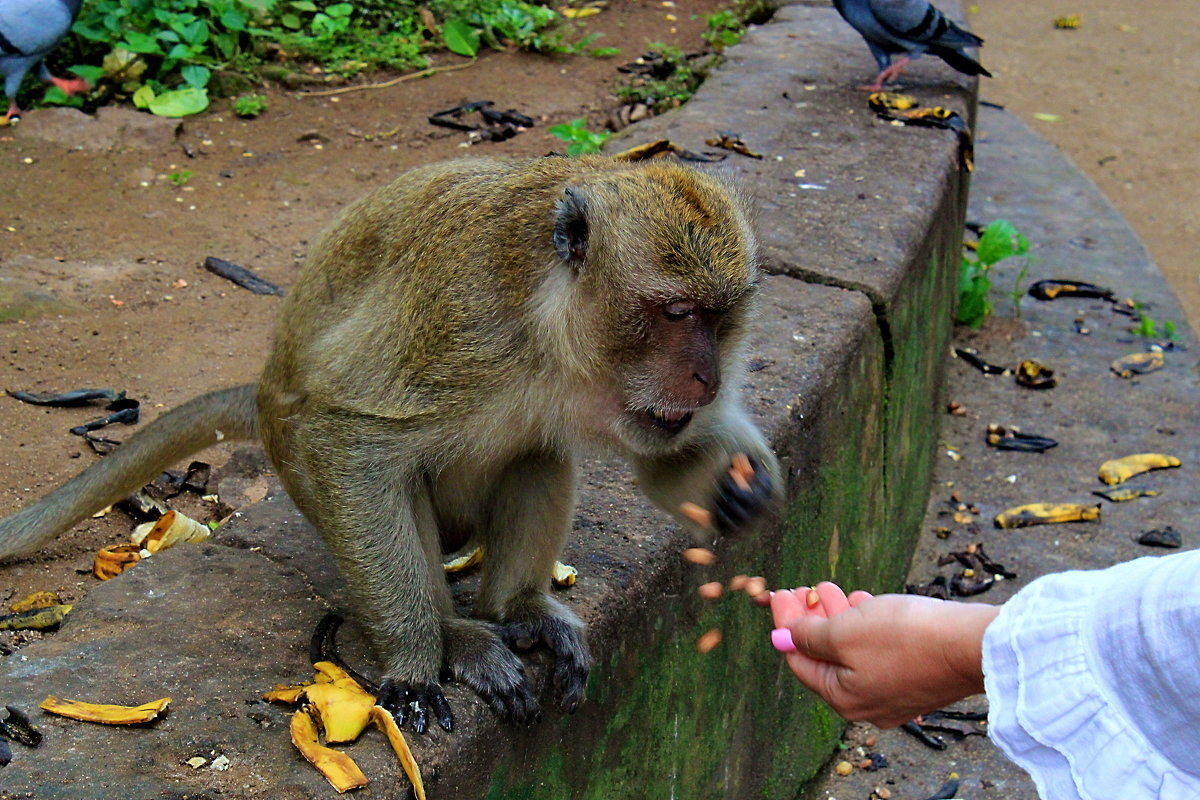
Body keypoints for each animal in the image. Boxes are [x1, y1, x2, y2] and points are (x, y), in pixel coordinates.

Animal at [0, 153, 777, 734]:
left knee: (538, 453)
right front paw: (412, 658)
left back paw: (514, 610)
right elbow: (351, 437)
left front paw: (731, 480)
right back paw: (456, 637)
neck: (548, 326)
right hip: (303, 471)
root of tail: (261, 391)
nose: (707, 375)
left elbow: (660, 449)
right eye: (676, 312)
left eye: (721, 317)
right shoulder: (461, 324)